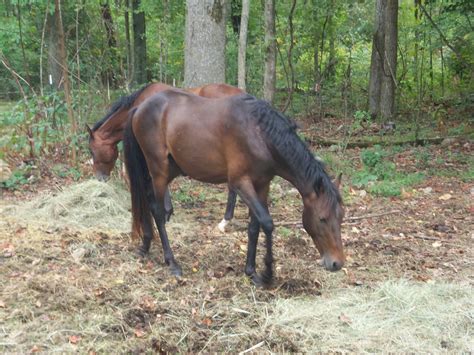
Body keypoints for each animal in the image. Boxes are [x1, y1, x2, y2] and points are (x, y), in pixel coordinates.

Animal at [122, 90, 344, 288]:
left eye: (340, 217)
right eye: (322, 219)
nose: (337, 263)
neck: (260, 134)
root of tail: (139, 108)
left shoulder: (262, 185)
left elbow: (254, 226)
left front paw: (251, 271)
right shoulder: (240, 183)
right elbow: (267, 223)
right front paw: (267, 274)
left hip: (168, 170)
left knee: (146, 200)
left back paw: (146, 245)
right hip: (159, 170)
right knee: (158, 213)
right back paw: (172, 262)